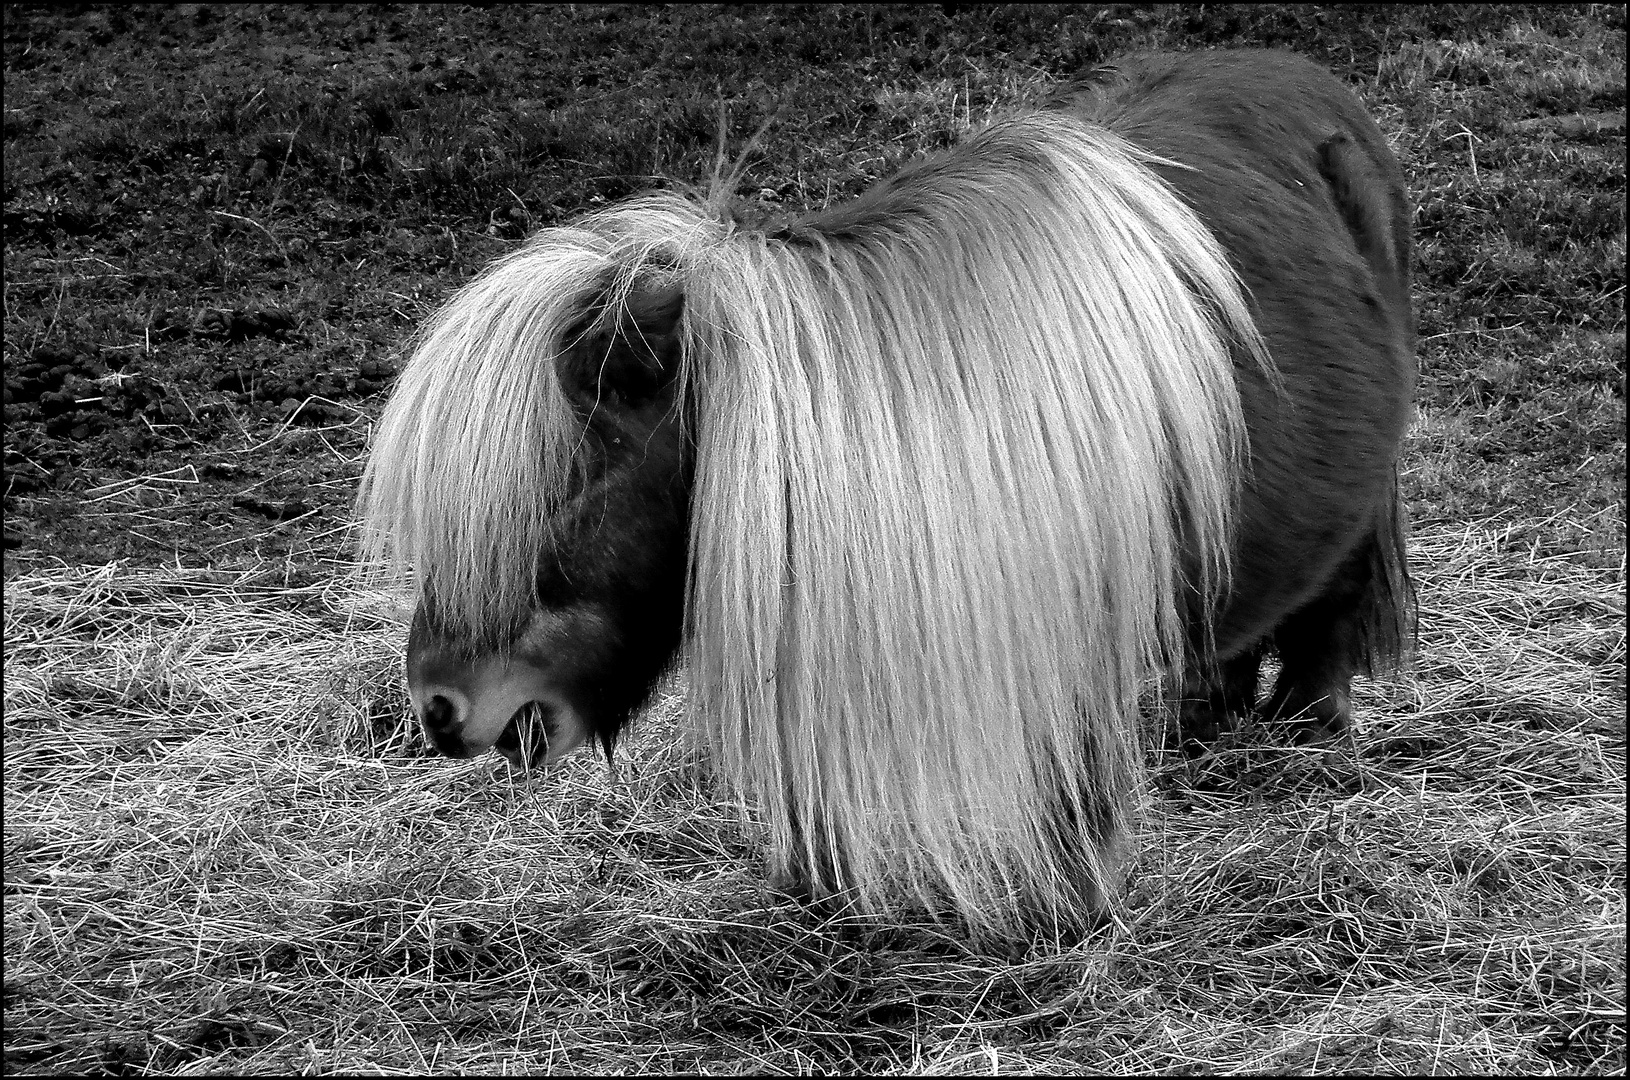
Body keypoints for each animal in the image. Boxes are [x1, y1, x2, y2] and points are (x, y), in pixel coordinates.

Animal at [356, 50, 1414, 944]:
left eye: (569, 485)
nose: (436, 707)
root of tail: (1309, 82)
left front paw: (1065, 925)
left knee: (1328, 617)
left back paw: (1309, 737)